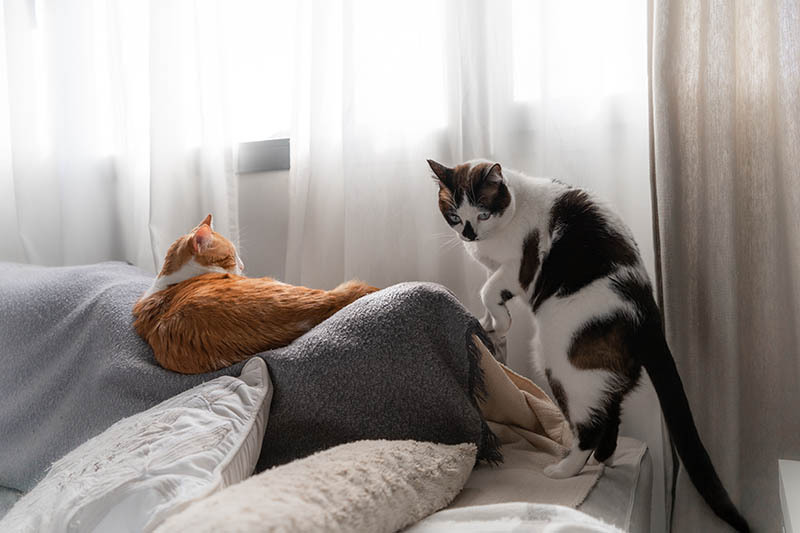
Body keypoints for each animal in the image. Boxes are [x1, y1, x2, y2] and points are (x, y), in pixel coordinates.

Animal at [428, 158, 748, 532]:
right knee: (611, 413)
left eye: (482, 212)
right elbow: (487, 304)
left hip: (562, 366)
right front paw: (491, 325)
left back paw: (567, 469)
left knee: (591, 425)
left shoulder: (517, 270)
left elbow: (488, 290)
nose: (468, 233)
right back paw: (604, 460)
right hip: (598, 374)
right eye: (454, 214)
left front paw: (500, 322)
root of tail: (647, 313)